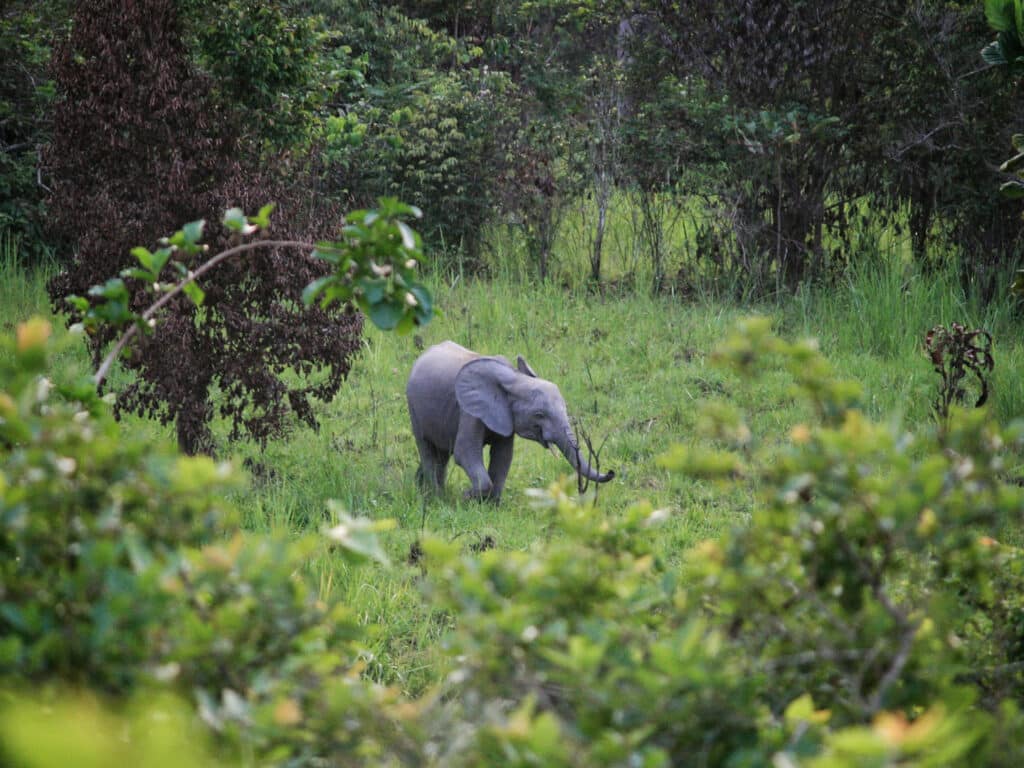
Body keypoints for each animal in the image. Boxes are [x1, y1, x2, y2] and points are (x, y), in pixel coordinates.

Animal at [406, 341, 615, 502]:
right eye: (539, 414)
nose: (611, 472)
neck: (514, 378)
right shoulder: (470, 412)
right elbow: (465, 452)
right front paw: (467, 498)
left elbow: (503, 456)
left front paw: (491, 506)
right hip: (413, 408)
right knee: (427, 449)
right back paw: (434, 497)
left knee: (442, 454)